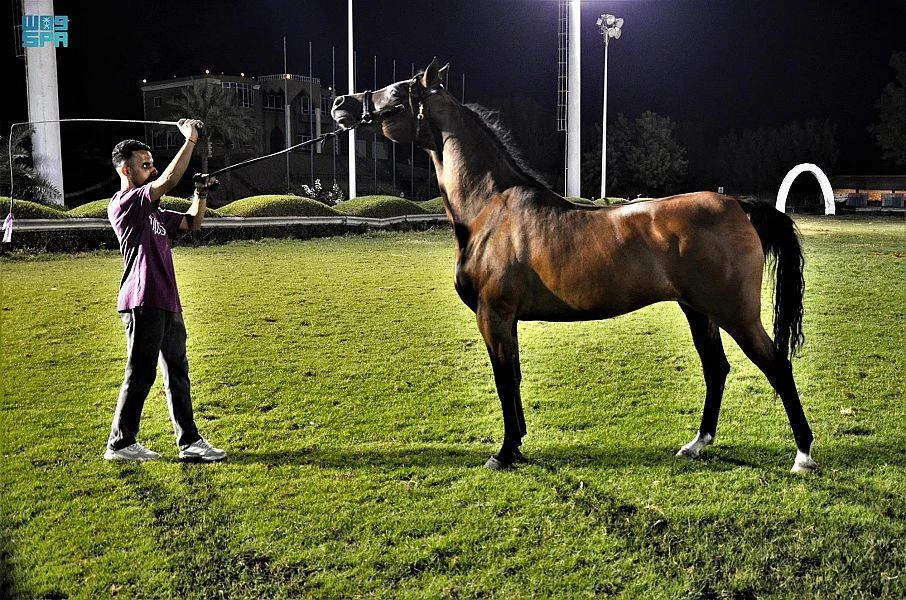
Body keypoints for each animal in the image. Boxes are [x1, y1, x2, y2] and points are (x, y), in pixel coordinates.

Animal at [331, 58, 818, 474]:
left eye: (397, 91)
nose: (341, 104)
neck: (490, 208)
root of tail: (737, 203)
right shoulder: (506, 319)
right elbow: (514, 377)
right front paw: (517, 445)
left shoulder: (494, 315)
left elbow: (504, 379)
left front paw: (503, 454)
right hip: (698, 311)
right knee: (716, 369)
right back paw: (697, 444)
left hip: (734, 313)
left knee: (776, 366)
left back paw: (803, 455)